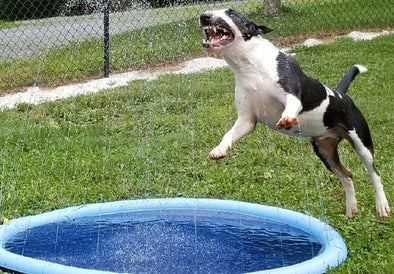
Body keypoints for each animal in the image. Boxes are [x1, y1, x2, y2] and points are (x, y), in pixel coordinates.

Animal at [199, 9, 390, 218]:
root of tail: (342, 95)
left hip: (360, 142)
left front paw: (287, 119)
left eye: (231, 13)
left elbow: (291, 105)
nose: (204, 16)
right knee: (347, 176)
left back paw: (382, 206)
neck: (249, 65)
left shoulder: (292, 94)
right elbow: (229, 133)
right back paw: (351, 208)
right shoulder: (246, 119)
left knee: (374, 173)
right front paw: (220, 149)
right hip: (325, 151)